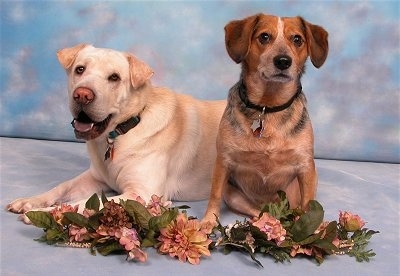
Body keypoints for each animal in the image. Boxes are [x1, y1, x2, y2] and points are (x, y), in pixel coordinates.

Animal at [7, 43, 225, 220]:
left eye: (114, 77)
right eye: (80, 69)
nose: (82, 95)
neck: (121, 132)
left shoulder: (141, 193)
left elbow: (85, 203)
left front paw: (42, 213)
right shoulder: (95, 177)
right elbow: (63, 186)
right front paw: (30, 201)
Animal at [203, 13, 328, 224]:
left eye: (297, 39)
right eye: (264, 37)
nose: (283, 61)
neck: (268, 108)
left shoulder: (306, 167)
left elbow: (309, 205)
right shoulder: (223, 161)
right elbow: (214, 195)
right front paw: (208, 222)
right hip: (234, 195)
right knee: (259, 213)